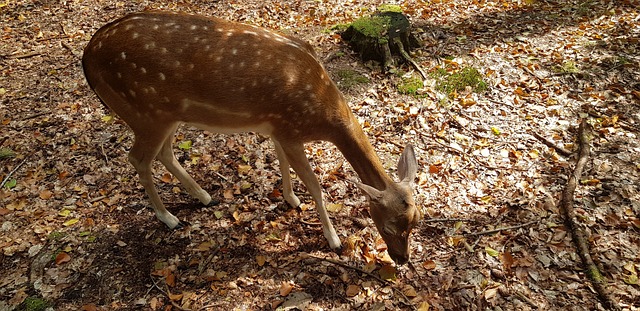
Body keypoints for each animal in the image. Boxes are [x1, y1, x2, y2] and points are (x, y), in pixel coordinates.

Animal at [82, 12, 422, 266]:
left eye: (415, 222)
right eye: (389, 226)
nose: (402, 259)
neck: (323, 116)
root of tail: (88, 55)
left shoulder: (277, 129)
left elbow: (282, 162)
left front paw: (291, 199)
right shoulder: (291, 129)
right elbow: (315, 185)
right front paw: (333, 239)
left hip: (165, 116)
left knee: (164, 154)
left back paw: (204, 196)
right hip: (145, 111)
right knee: (138, 158)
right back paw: (169, 218)